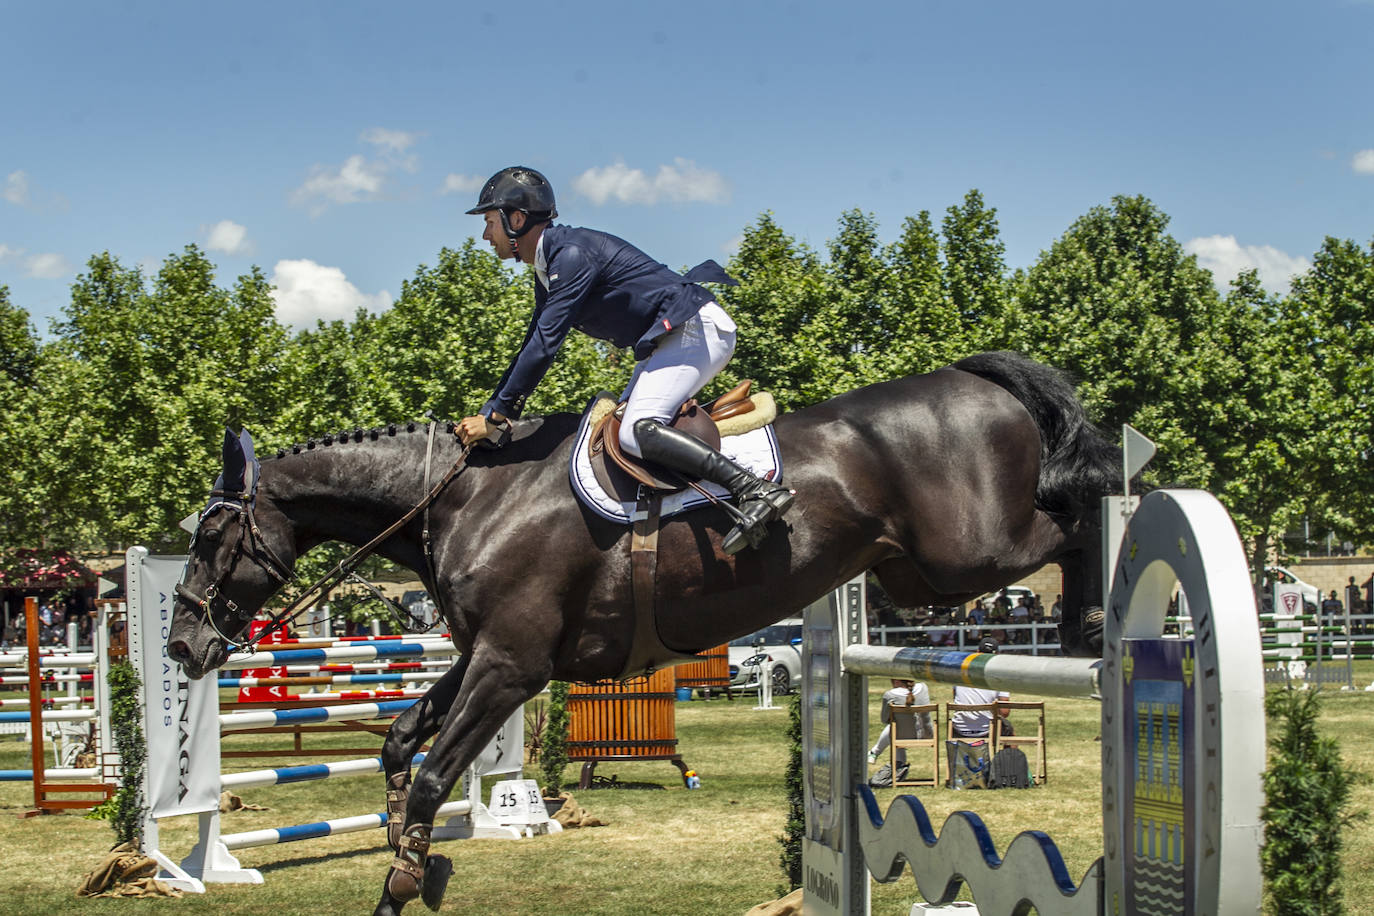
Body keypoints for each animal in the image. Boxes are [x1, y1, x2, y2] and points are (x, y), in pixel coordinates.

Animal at [166, 348, 1121, 911]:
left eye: (211, 538)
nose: (182, 645)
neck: (464, 499)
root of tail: (976, 378)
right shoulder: (485, 656)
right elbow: (401, 742)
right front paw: (413, 855)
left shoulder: (509, 668)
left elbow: (436, 776)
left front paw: (403, 878)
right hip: (911, 573)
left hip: (972, 556)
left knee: (1086, 508)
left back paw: (1093, 622)